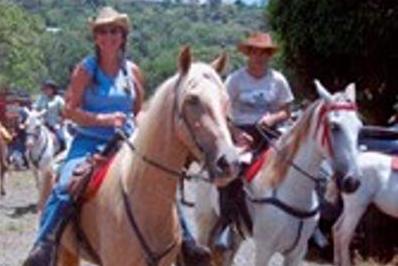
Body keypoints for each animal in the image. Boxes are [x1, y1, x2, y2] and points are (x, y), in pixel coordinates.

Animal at [194, 81, 362, 266]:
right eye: (334, 126)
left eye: (359, 127)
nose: (352, 182)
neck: (292, 194)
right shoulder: (264, 250)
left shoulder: (297, 253)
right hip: (205, 220)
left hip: (237, 232)